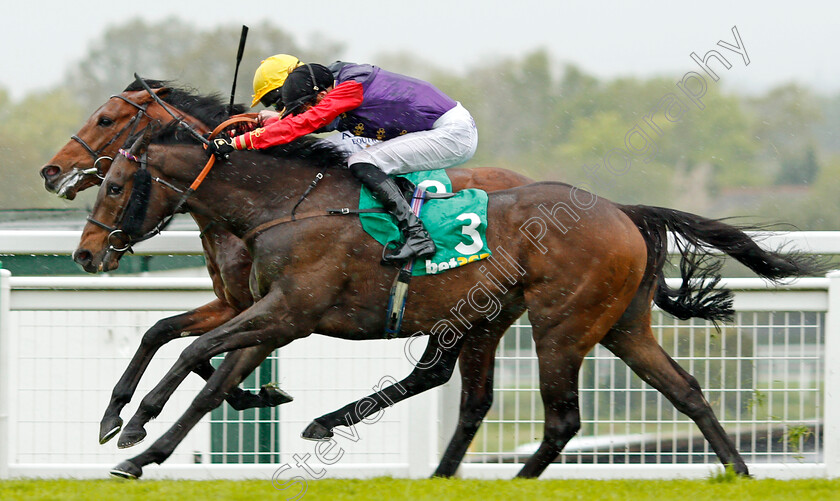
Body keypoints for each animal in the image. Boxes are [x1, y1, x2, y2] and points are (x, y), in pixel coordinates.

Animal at [74, 123, 828, 478]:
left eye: (112, 185)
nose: (85, 254)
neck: (282, 204)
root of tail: (621, 209)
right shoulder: (274, 317)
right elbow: (204, 372)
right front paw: (136, 444)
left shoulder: (288, 312)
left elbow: (196, 353)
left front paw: (131, 426)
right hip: (604, 325)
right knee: (685, 389)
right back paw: (737, 471)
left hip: (561, 323)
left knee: (561, 417)